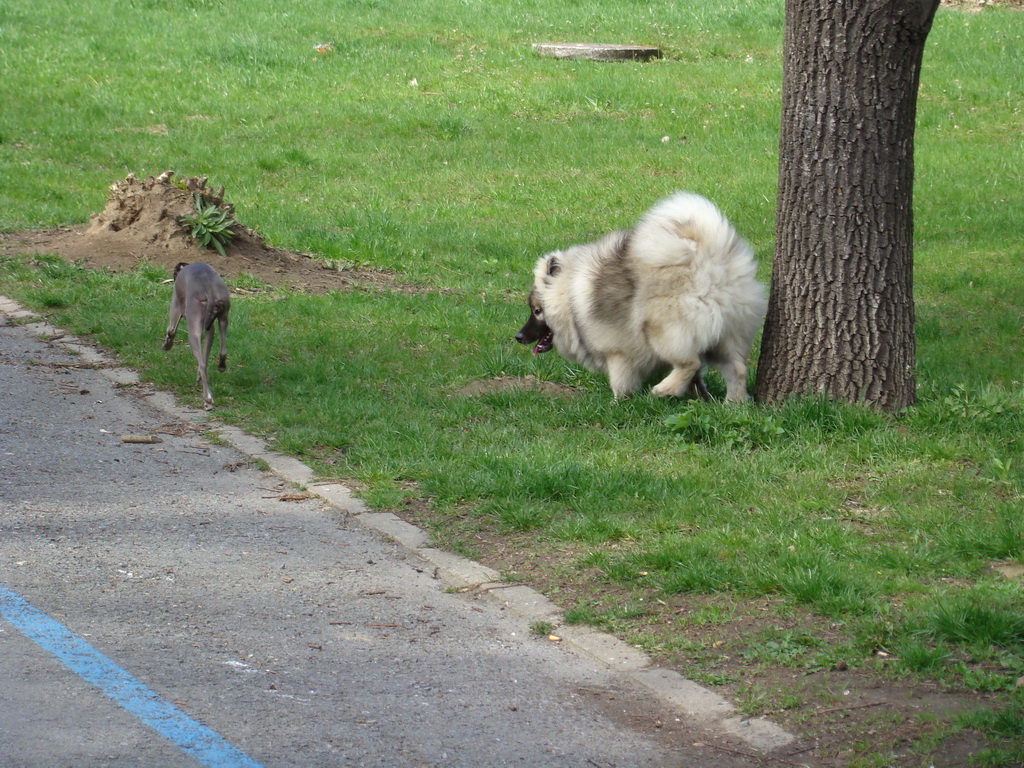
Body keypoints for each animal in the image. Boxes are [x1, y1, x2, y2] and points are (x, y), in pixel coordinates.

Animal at [160, 262, 229, 409]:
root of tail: (209, 287)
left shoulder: (176, 305)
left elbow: (171, 330)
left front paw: (167, 345)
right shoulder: (210, 328)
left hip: (193, 328)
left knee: (202, 362)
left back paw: (207, 398)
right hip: (223, 318)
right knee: (219, 352)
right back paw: (219, 367)